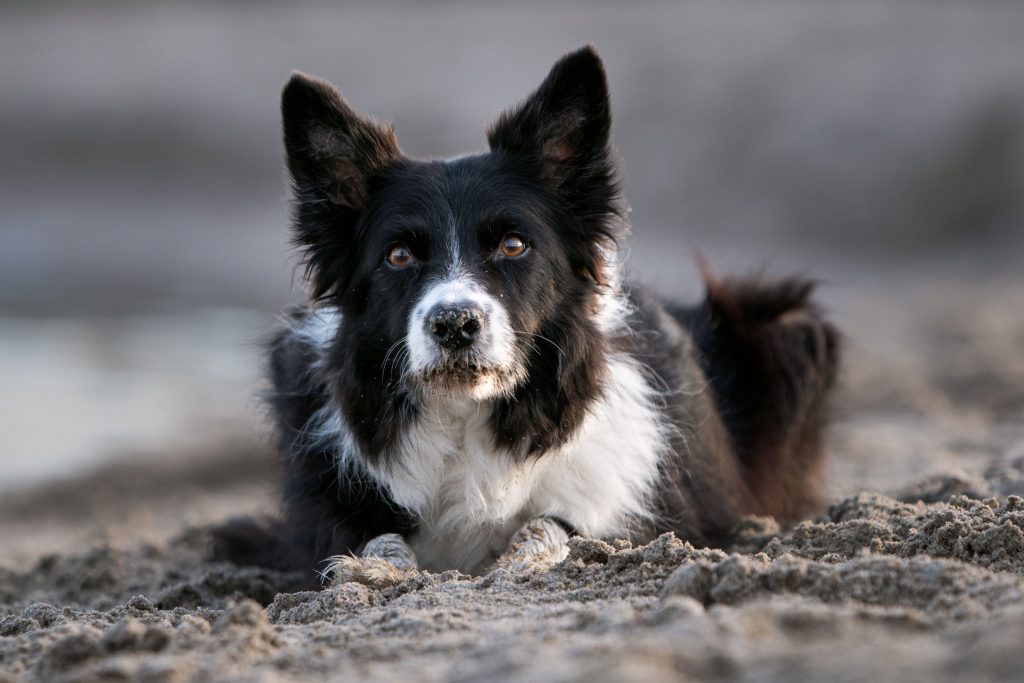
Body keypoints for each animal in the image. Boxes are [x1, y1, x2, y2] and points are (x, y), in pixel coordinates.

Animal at [214, 45, 839, 585]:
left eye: (513, 245)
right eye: (398, 256)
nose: (455, 324)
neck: (467, 417)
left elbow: (553, 526)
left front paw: (522, 558)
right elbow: (372, 539)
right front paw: (378, 570)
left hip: (788, 328)